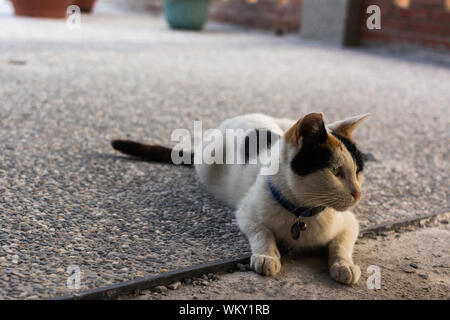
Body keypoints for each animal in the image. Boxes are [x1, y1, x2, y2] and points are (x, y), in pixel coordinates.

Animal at [111, 112, 370, 284]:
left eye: (359, 170)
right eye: (335, 171)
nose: (358, 193)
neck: (302, 212)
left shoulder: (349, 222)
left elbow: (341, 244)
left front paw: (344, 265)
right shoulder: (245, 212)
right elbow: (261, 232)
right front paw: (267, 255)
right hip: (209, 159)